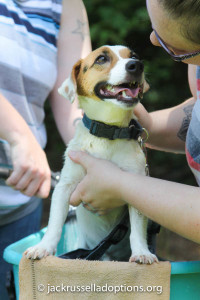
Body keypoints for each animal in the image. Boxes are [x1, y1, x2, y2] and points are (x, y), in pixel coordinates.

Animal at [24, 45, 158, 264]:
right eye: (101, 58)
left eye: (134, 56)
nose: (136, 65)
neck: (107, 133)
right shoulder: (64, 186)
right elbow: (54, 224)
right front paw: (43, 247)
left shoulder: (137, 185)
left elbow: (137, 230)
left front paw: (141, 252)